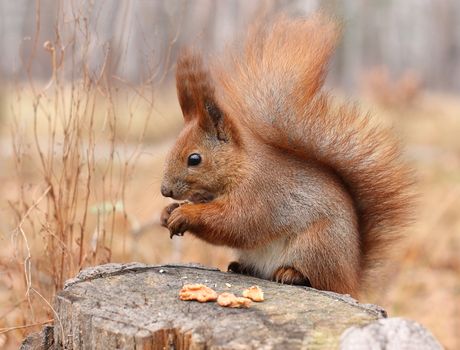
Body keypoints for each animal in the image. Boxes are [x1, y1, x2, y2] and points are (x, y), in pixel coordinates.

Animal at [160, 15, 412, 296]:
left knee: (320, 280)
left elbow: (235, 223)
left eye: (194, 159)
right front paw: (167, 212)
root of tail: (351, 279)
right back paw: (241, 267)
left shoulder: (260, 195)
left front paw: (185, 214)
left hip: (316, 246)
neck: (241, 168)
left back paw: (292, 275)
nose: (165, 190)